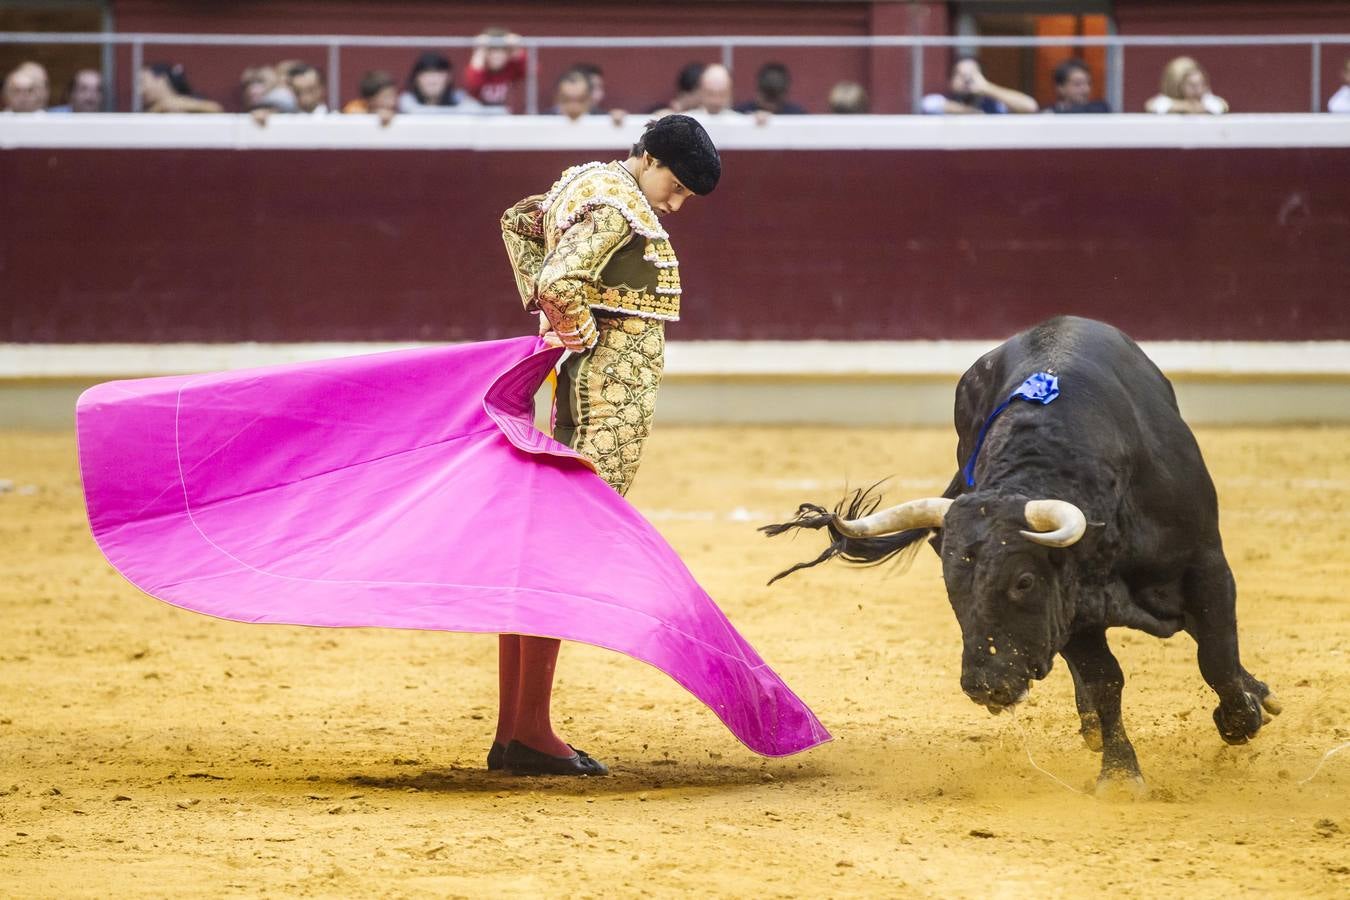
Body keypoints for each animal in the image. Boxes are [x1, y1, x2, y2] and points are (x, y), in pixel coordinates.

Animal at [766, 317, 1279, 793]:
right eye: (951, 583)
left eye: (1023, 581)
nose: (984, 684)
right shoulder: (1071, 607)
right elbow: (1105, 679)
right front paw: (1119, 774)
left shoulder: (1207, 566)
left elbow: (1216, 654)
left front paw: (1241, 719)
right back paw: (1093, 728)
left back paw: (1257, 695)